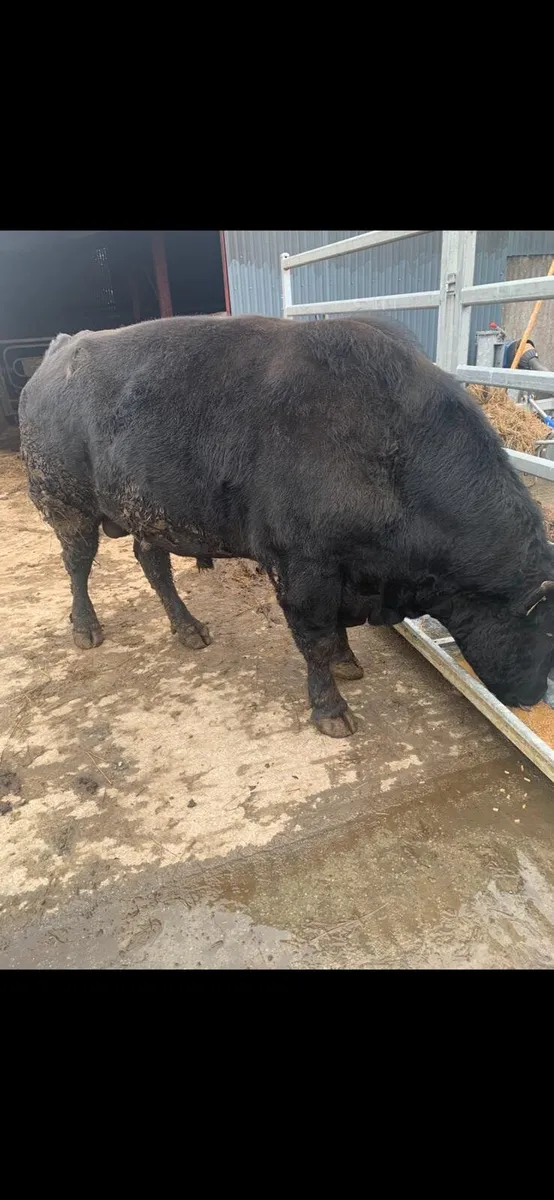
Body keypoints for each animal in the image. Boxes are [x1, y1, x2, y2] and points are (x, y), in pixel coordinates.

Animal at [18, 314, 554, 737]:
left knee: (153, 565)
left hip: (148, 515)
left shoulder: (343, 574)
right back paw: (86, 628)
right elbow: (315, 639)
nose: (531, 695)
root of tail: (60, 350)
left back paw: (189, 628)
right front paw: (331, 710)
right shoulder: (302, 569)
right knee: (77, 564)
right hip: (69, 507)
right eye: (546, 632)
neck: (392, 448)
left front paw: (348, 663)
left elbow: (336, 631)